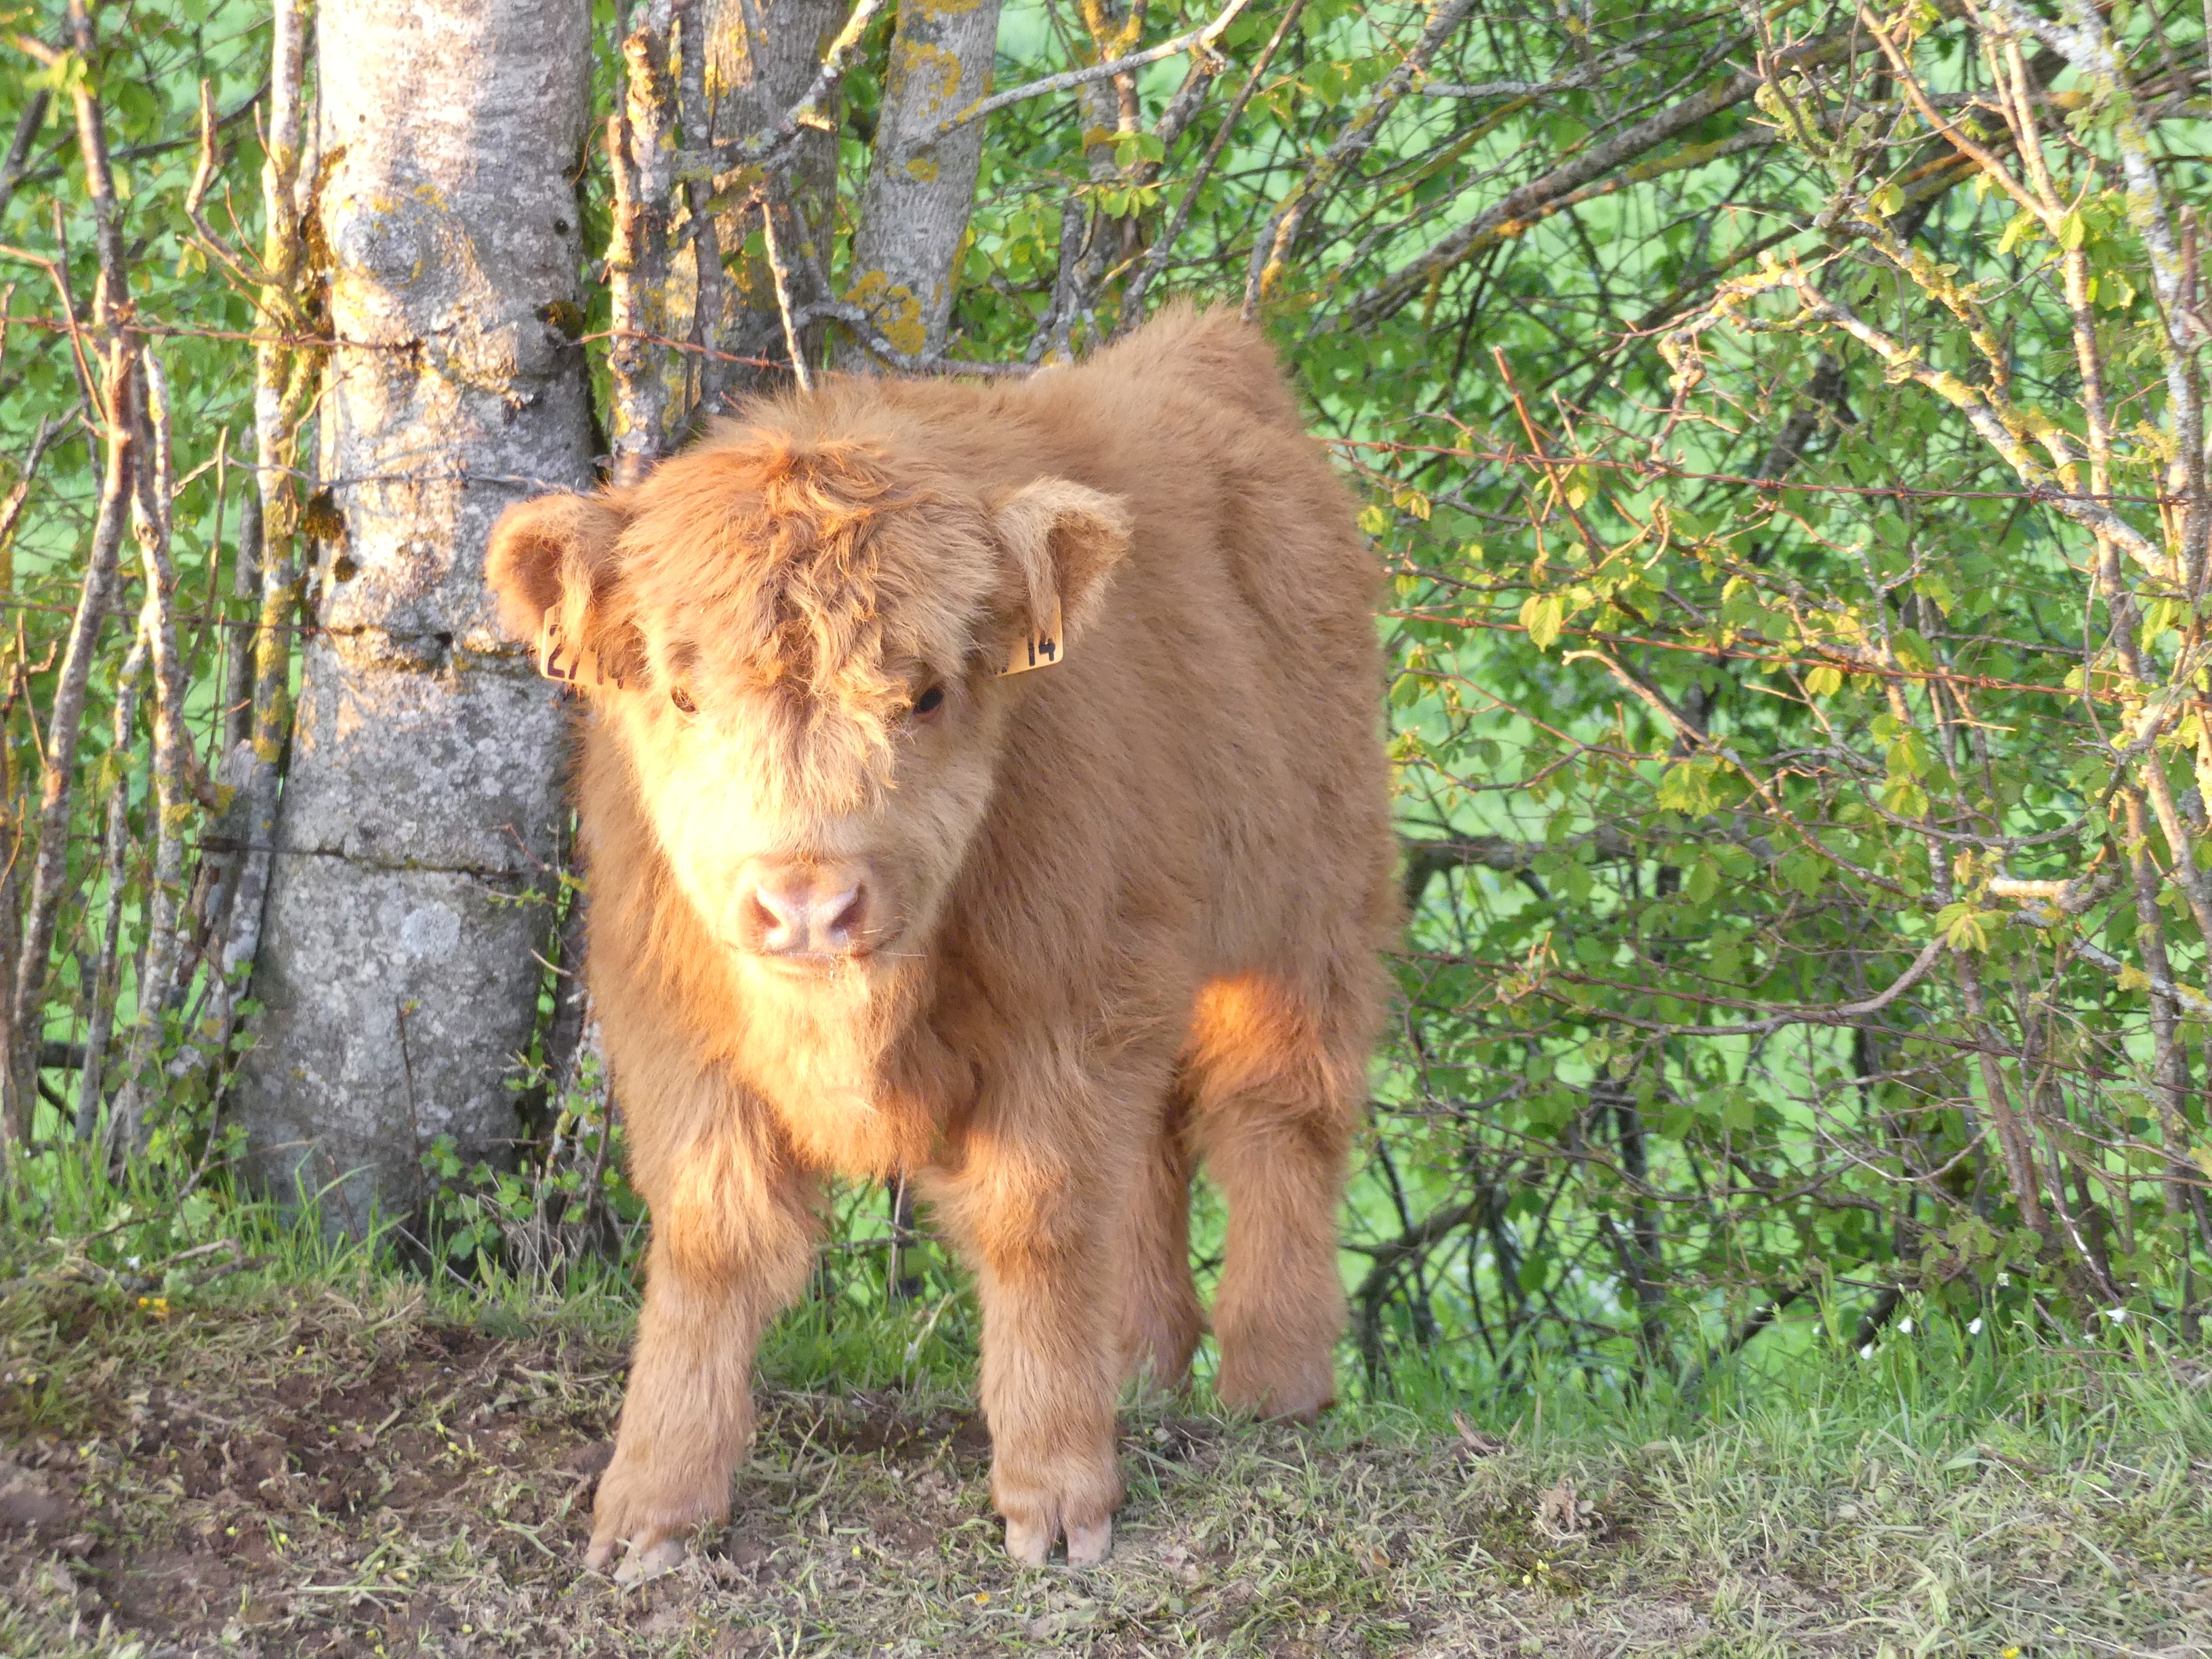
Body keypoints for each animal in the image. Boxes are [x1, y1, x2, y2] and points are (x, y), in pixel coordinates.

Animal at [491, 309, 1389, 1584]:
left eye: (922, 694)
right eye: (682, 693)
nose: (807, 903)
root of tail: (1201, 345)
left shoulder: (1069, 1007)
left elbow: (1038, 1221)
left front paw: (1057, 1490)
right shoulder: (668, 1022)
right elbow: (714, 1239)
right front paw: (652, 1502)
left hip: (1308, 905)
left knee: (1276, 1120)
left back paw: (1276, 1383)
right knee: (1156, 1154)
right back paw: (1139, 1367)